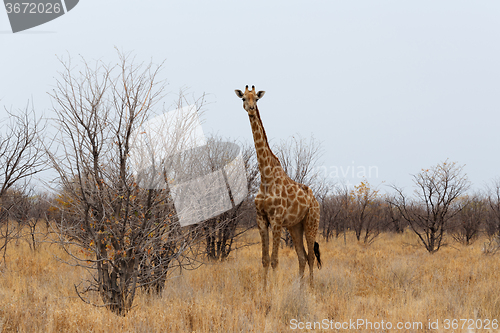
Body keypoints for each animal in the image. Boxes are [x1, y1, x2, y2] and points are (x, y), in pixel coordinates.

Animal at [233, 85, 320, 288]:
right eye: (243, 98)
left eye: (256, 99)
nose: (250, 109)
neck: (266, 177)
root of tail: (316, 201)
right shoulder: (261, 219)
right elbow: (265, 259)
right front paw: (264, 290)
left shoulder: (277, 219)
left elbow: (274, 260)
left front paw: (273, 290)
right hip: (295, 226)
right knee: (302, 257)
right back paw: (300, 288)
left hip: (311, 222)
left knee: (311, 257)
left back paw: (312, 288)